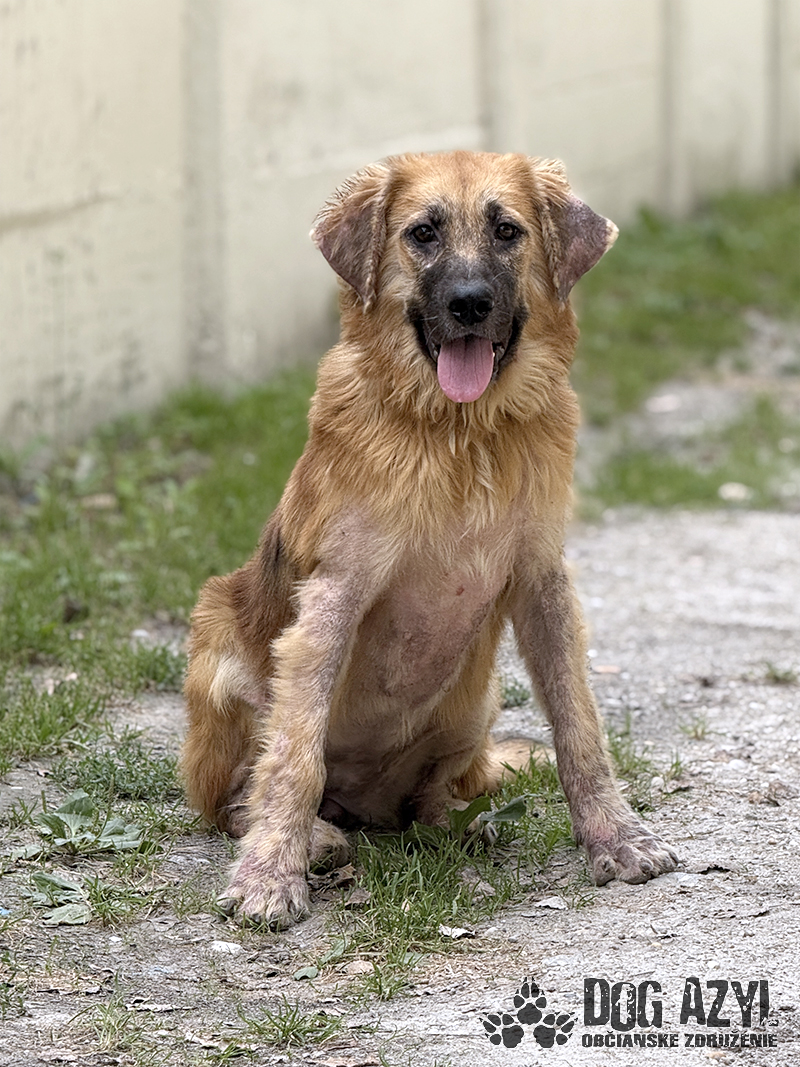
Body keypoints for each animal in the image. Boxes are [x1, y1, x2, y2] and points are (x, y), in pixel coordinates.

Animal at [181, 151, 678, 929]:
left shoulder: (543, 583)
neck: (458, 432)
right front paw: (268, 877)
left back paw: (455, 822)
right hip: (222, 652)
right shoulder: (332, 599)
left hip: (473, 702)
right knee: (238, 794)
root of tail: (363, 803)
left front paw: (615, 837)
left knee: (436, 795)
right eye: (422, 233)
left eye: (507, 230)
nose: (470, 303)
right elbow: (293, 755)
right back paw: (316, 837)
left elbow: (579, 726)